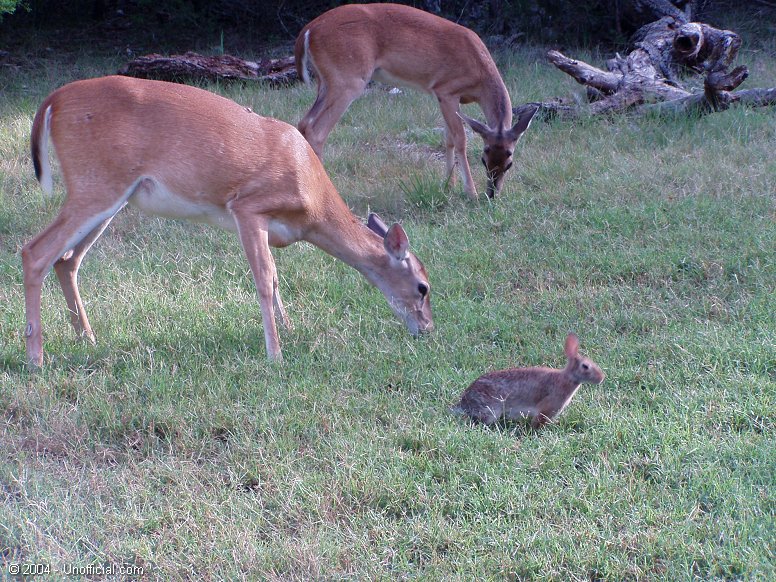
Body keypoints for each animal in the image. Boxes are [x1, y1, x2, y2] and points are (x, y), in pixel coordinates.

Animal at [24, 76, 434, 370]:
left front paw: (289, 330)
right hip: (95, 184)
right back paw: (36, 359)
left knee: (67, 261)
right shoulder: (248, 207)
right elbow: (264, 279)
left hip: (110, 193)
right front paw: (276, 356)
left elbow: (275, 277)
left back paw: (88, 340)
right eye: (423, 287)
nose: (428, 329)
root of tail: (52, 101)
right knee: (35, 252)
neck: (313, 208)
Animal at [294, 1, 536, 201]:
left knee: (304, 122)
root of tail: (308, 30)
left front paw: (448, 186)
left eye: (509, 163)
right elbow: (460, 138)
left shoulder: (441, 96)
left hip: (325, 81)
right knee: (317, 130)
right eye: (483, 158)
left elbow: (448, 138)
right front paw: (470, 192)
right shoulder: (447, 90)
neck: (479, 73)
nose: (492, 194)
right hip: (348, 78)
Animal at [454, 334, 608, 428]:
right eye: (585, 366)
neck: (567, 378)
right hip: (490, 409)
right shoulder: (547, 408)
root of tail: (464, 402)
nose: (601, 378)